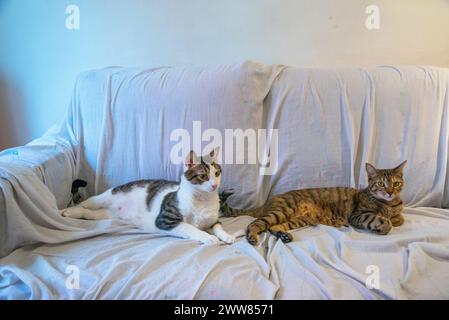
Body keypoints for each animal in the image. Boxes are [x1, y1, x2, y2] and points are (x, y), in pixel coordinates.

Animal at [61, 148, 236, 245]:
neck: (203, 200)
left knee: (88, 214)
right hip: (104, 197)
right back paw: (67, 211)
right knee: (83, 204)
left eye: (217, 173)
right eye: (203, 176)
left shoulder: (213, 220)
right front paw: (207, 237)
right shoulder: (165, 219)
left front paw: (227, 236)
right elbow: (190, 227)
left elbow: (218, 227)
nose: (214, 185)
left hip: (107, 215)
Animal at [219, 161, 404, 246]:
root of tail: (267, 201)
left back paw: (284, 235)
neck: (389, 204)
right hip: (282, 211)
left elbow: (399, 218)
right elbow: (381, 220)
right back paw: (252, 236)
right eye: (380, 184)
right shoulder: (357, 216)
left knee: (273, 227)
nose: (390, 192)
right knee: (255, 223)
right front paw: (384, 225)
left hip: (298, 219)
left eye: (396, 183)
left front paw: (393, 218)